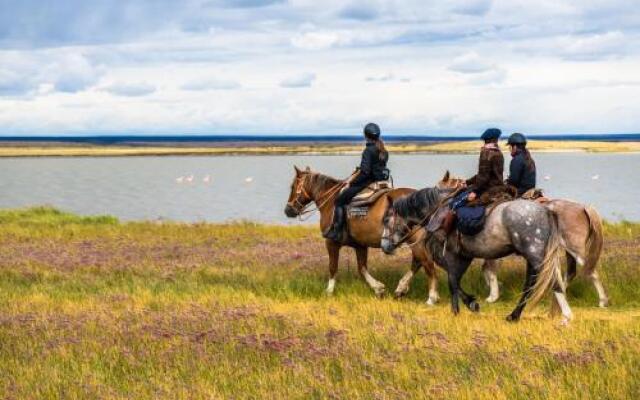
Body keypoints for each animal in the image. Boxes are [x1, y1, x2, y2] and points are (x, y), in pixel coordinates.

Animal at [284, 164, 440, 302]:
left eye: (293, 186)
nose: (288, 210)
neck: (331, 202)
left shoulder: (331, 242)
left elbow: (333, 267)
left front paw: (328, 292)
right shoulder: (360, 245)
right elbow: (362, 268)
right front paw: (378, 289)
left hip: (416, 242)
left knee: (427, 264)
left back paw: (431, 297)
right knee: (418, 262)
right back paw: (401, 288)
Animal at [380, 188, 568, 324]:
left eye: (387, 220)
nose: (385, 247)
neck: (437, 213)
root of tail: (546, 211)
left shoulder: (451, 255)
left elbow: (452, 281)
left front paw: (457, 310)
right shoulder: (464, 256)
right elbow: (455, 281)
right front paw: (471, 303)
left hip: (535, 255)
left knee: (547, 281)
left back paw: (562, 316)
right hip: (533, 257)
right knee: (537, 283)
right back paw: (517, 315)